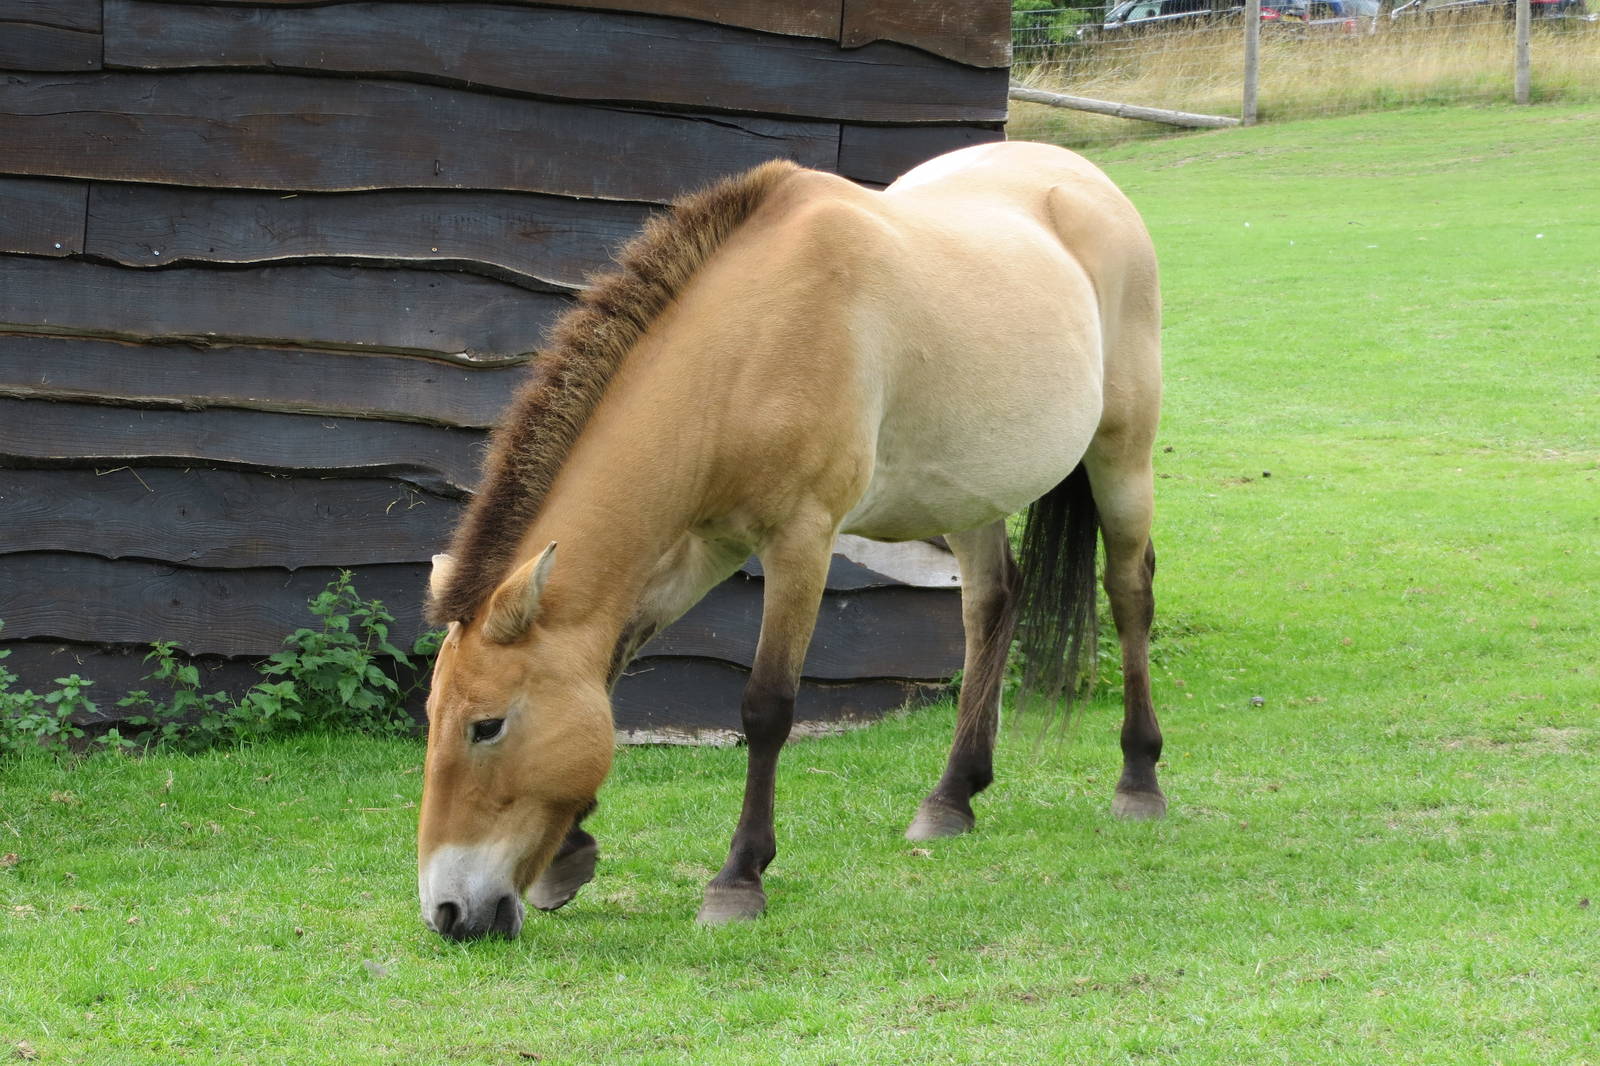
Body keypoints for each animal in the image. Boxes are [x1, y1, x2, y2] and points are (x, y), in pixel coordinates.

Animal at [416, 140, 1165, 939]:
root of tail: (1085, 178)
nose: (448, 911)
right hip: (970, 493)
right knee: (992, 603)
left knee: (1129, 594)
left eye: (487, 727)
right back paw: (952, 797)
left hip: (1123, 457)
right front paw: (569, 856)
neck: (750, 342)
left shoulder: (802, 539)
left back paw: (1139, 780)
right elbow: (612, 661)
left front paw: (738, 879)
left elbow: (767, 706)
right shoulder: (704, 546)